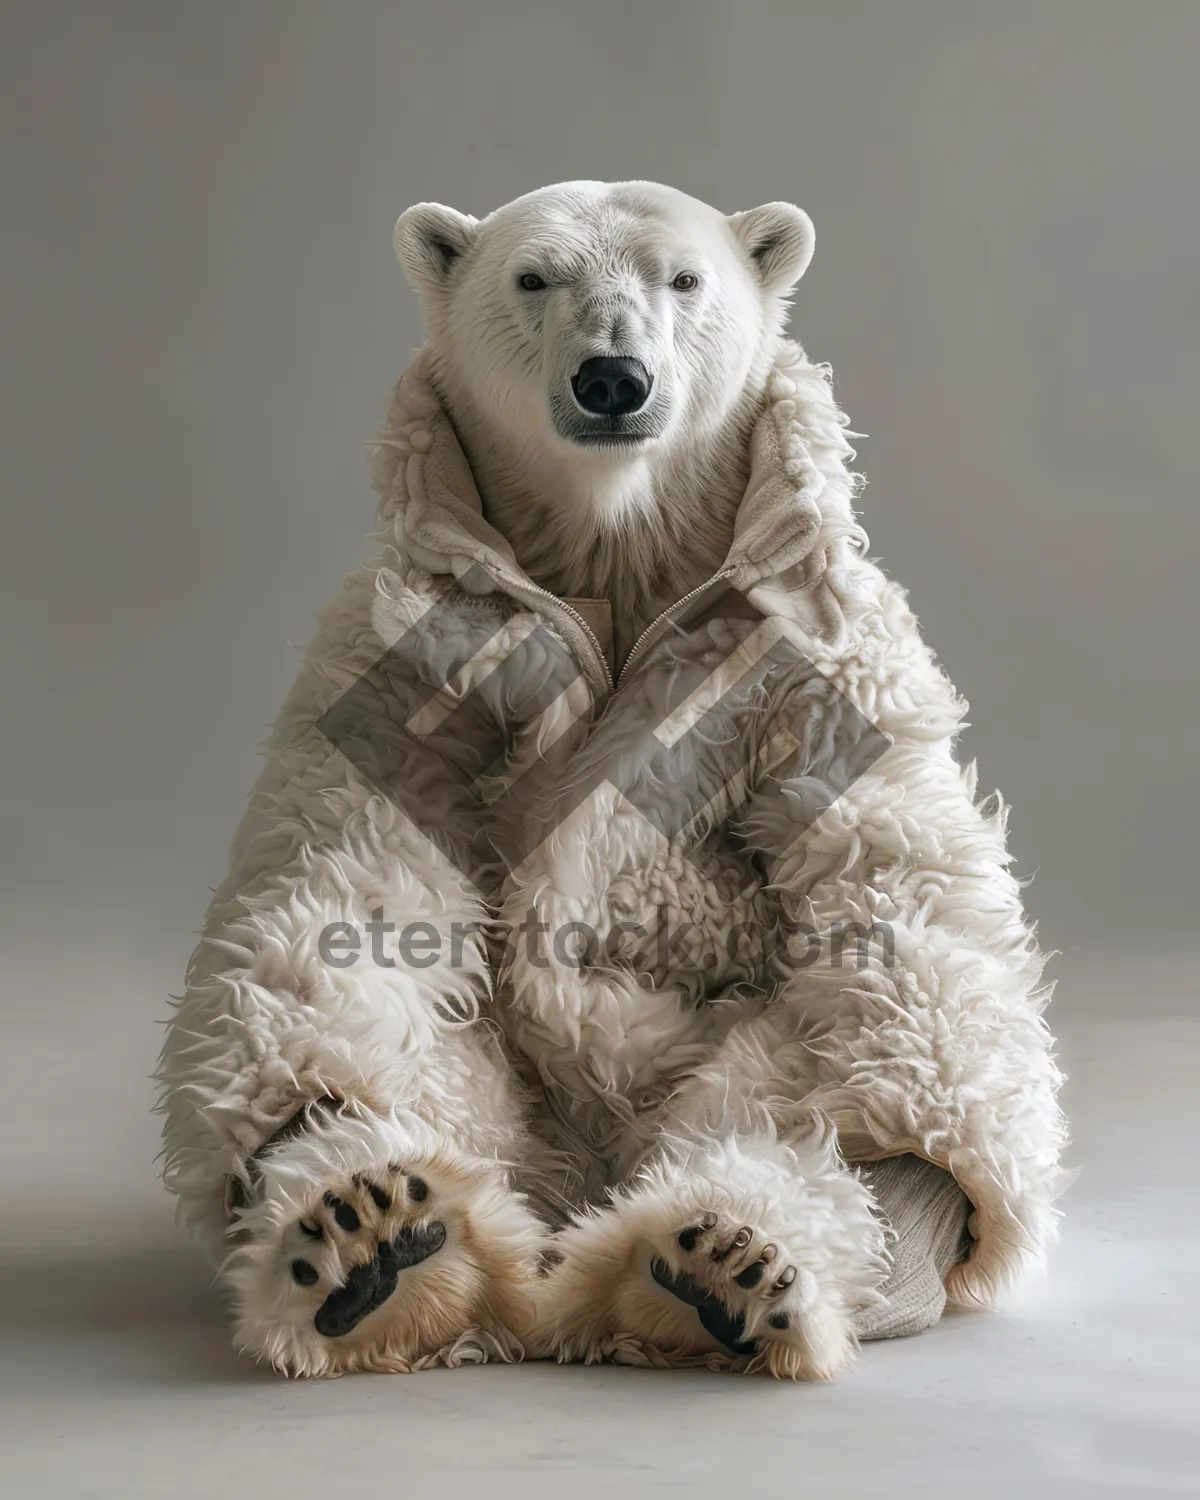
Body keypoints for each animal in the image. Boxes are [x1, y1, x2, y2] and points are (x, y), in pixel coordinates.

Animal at [162, 178, 1068, 1380]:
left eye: (683, 279)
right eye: (533, 276)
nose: (613, 378)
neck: (621, 556)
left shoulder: (827, 653)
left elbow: (887, 879)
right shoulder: (397, 655)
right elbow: (346, 868)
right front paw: (352, 1201)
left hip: (718, 1045)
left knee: (813, 1073)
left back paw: (727, 1261)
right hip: (511, 1082)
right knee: (398, 1041)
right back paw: (374, 1234)